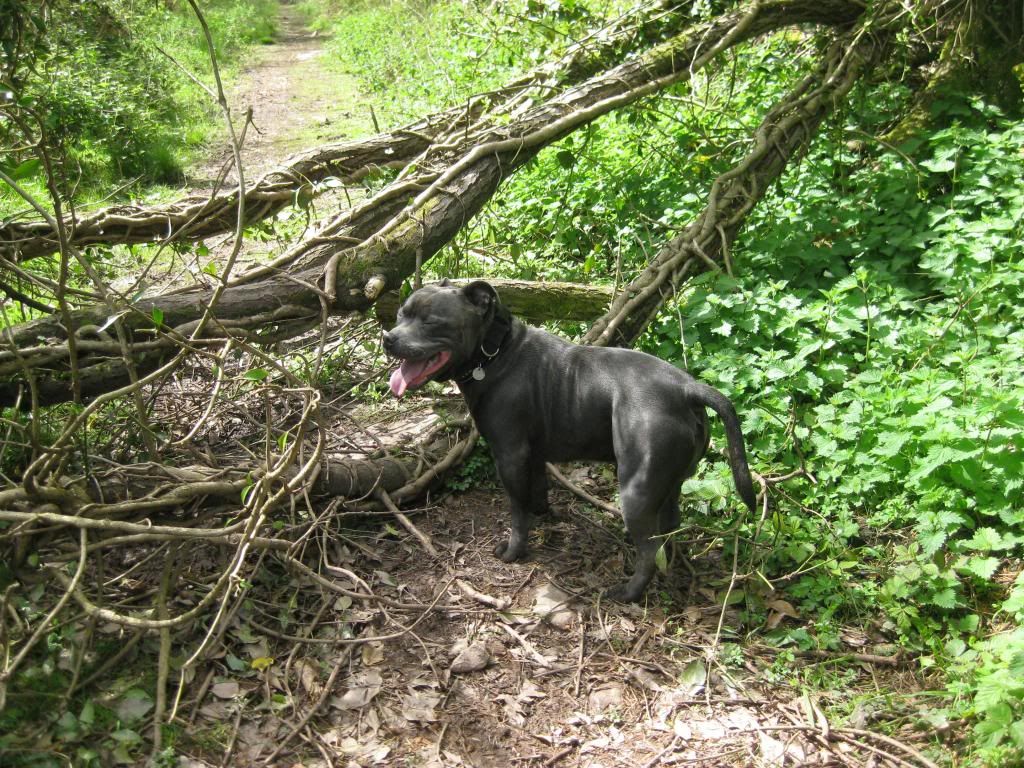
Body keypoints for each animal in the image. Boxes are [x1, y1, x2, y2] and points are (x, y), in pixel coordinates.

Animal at [382, 280, 753, 606]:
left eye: (431, 322)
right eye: (400, 314)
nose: (388, 338)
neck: (495, 352)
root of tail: (687, 388)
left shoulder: (510, 455)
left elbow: (516, 512)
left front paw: (514, 551)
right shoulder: (532, 456)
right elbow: (537, 491)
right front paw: (543, 516)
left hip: (636, 489)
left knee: (648, 551)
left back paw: (628, 593)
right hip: (670, 483)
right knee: (668, 528)